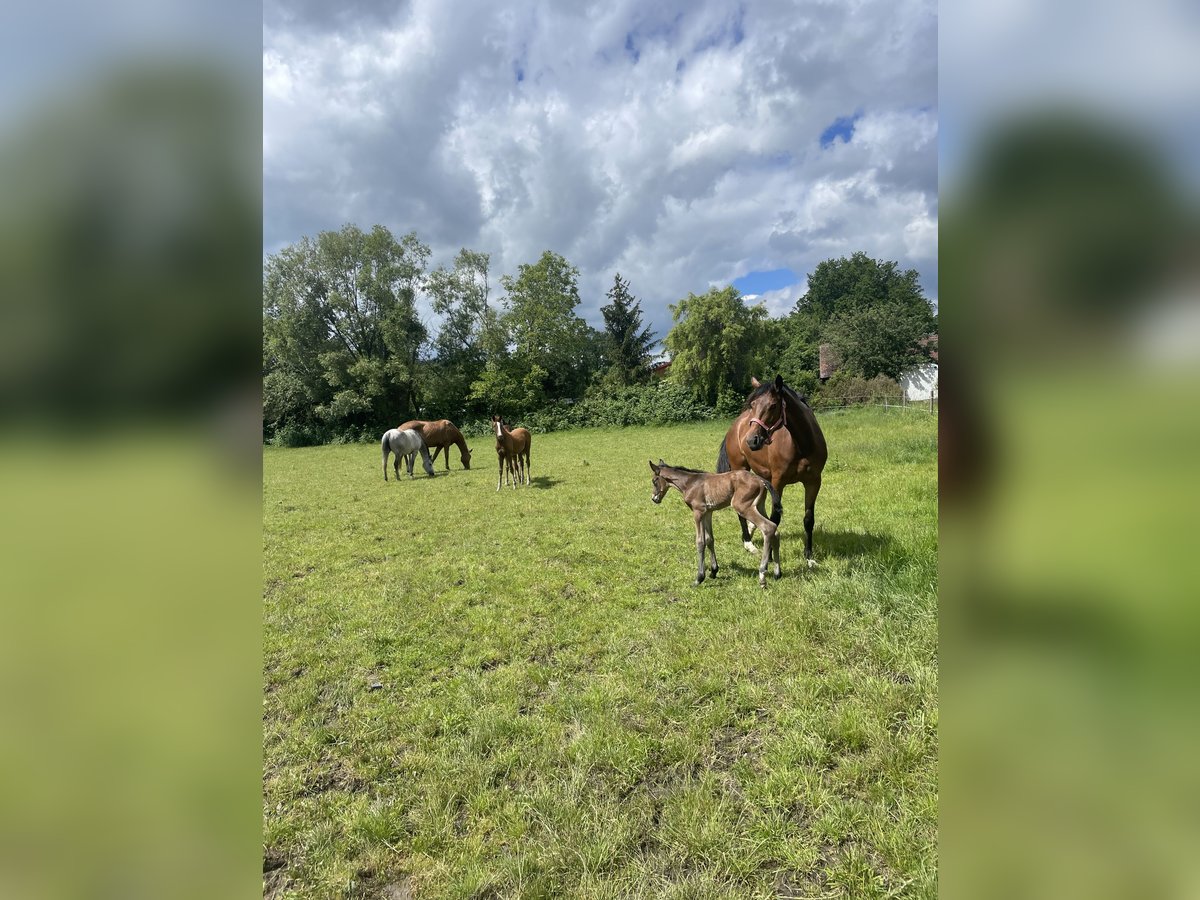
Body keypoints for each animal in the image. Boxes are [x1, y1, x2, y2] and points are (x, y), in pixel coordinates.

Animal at [652, 458, 782, 592]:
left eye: (654, 481)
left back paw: (762, 576)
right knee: (775, 530)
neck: (691, 483)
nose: (654, 498)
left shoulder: (698, 512)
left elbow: (700, 541)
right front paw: (714, 571)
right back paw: (777, 573)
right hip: (759, 506)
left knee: (768, 527)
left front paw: (699, 578)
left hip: (743, 507)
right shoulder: (708, 512)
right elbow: (710, 539)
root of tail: (761, 480)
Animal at [715, 376, 830, 566]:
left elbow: (808, 518)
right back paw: (748, 543)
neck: (802, 444)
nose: (751, 440)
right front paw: (768, 558)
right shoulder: (778, 483)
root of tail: (735, 425)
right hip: (741, 469)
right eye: (753, 404)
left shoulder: (814, 482)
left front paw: (809, 557)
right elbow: (775, 518)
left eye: (773, 405)